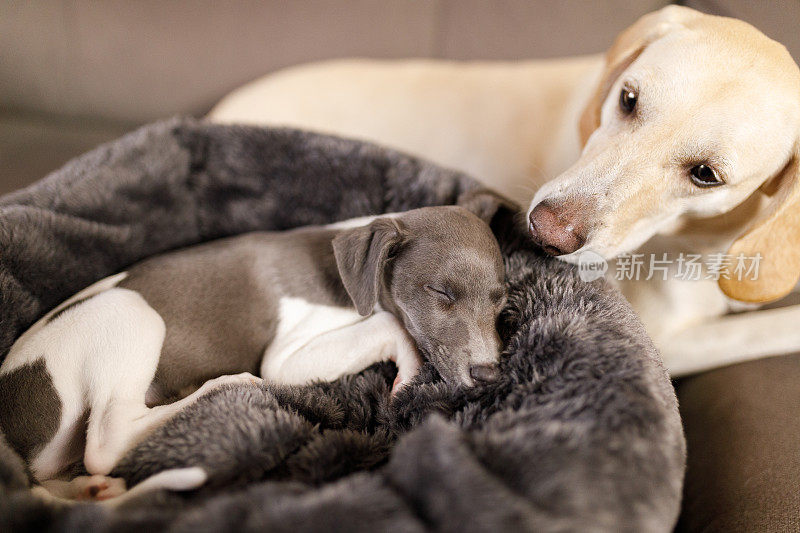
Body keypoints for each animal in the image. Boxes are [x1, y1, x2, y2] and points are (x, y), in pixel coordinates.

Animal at [0, 194, 506, 498]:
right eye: (441, 293)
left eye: (501, 300)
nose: (489, 374)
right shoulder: (287, 356)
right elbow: (385, 323)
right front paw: (407, 372)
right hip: (129, 312)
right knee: (108, 439)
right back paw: (222, 385)